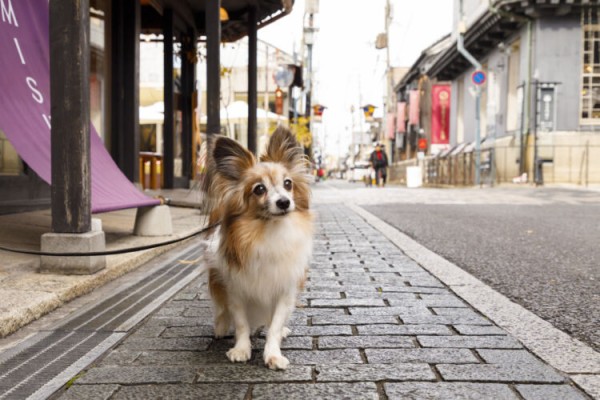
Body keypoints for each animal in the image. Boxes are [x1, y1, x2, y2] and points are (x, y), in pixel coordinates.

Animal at [203, 126, 314, 370]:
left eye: (288, 184)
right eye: (259, 189)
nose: (284, 202)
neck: (266, 231)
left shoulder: (284, 288)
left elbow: (275, 324)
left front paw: (273, 354)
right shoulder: (235, 288)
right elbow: (241, 322)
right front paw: (241, 349)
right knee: (221, 308)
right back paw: (221, 327)